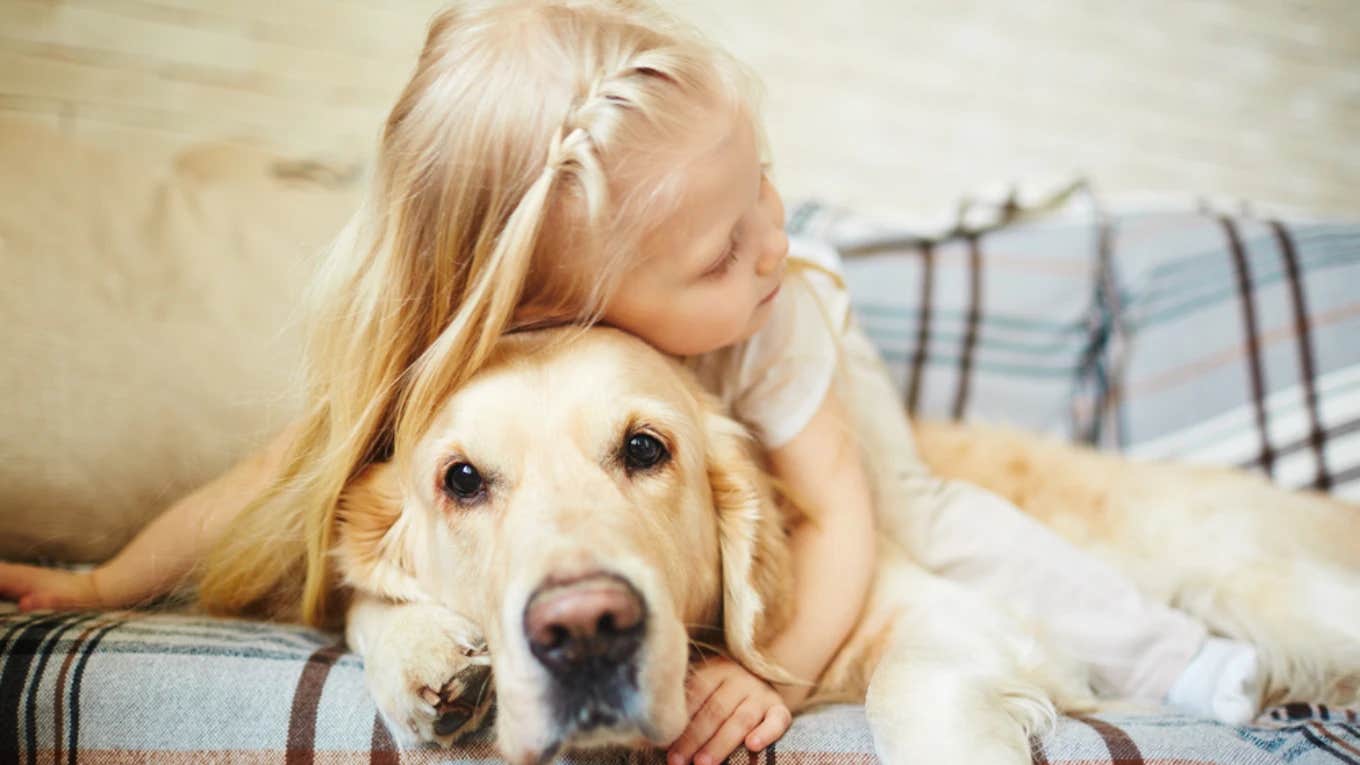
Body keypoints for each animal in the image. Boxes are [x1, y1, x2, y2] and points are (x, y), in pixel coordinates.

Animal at [334, 323, 1360, 756]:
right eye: (462, 479)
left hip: (1253, 585)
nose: (585, 631)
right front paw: (431, 662)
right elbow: (358, 603)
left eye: (645, 448)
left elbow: (909, 693)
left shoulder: (947, 612)